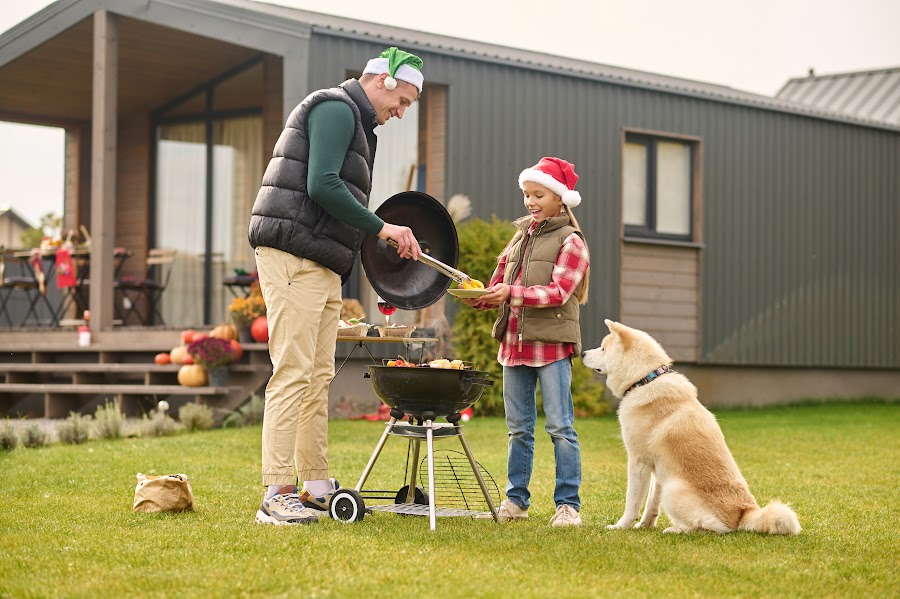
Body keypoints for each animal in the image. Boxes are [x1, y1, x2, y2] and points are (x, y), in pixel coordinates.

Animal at [584, 322, 800, 536]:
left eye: (602, 349)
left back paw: (677, 530)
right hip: (669, 483)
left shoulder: (639, 462)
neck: (645, 380)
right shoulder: (659, 469)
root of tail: (743, 514)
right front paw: (645, 526)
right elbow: (651, 505)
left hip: (673, 489)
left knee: (710, 528)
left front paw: (620, 526)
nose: (583, 352)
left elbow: (632, 503)